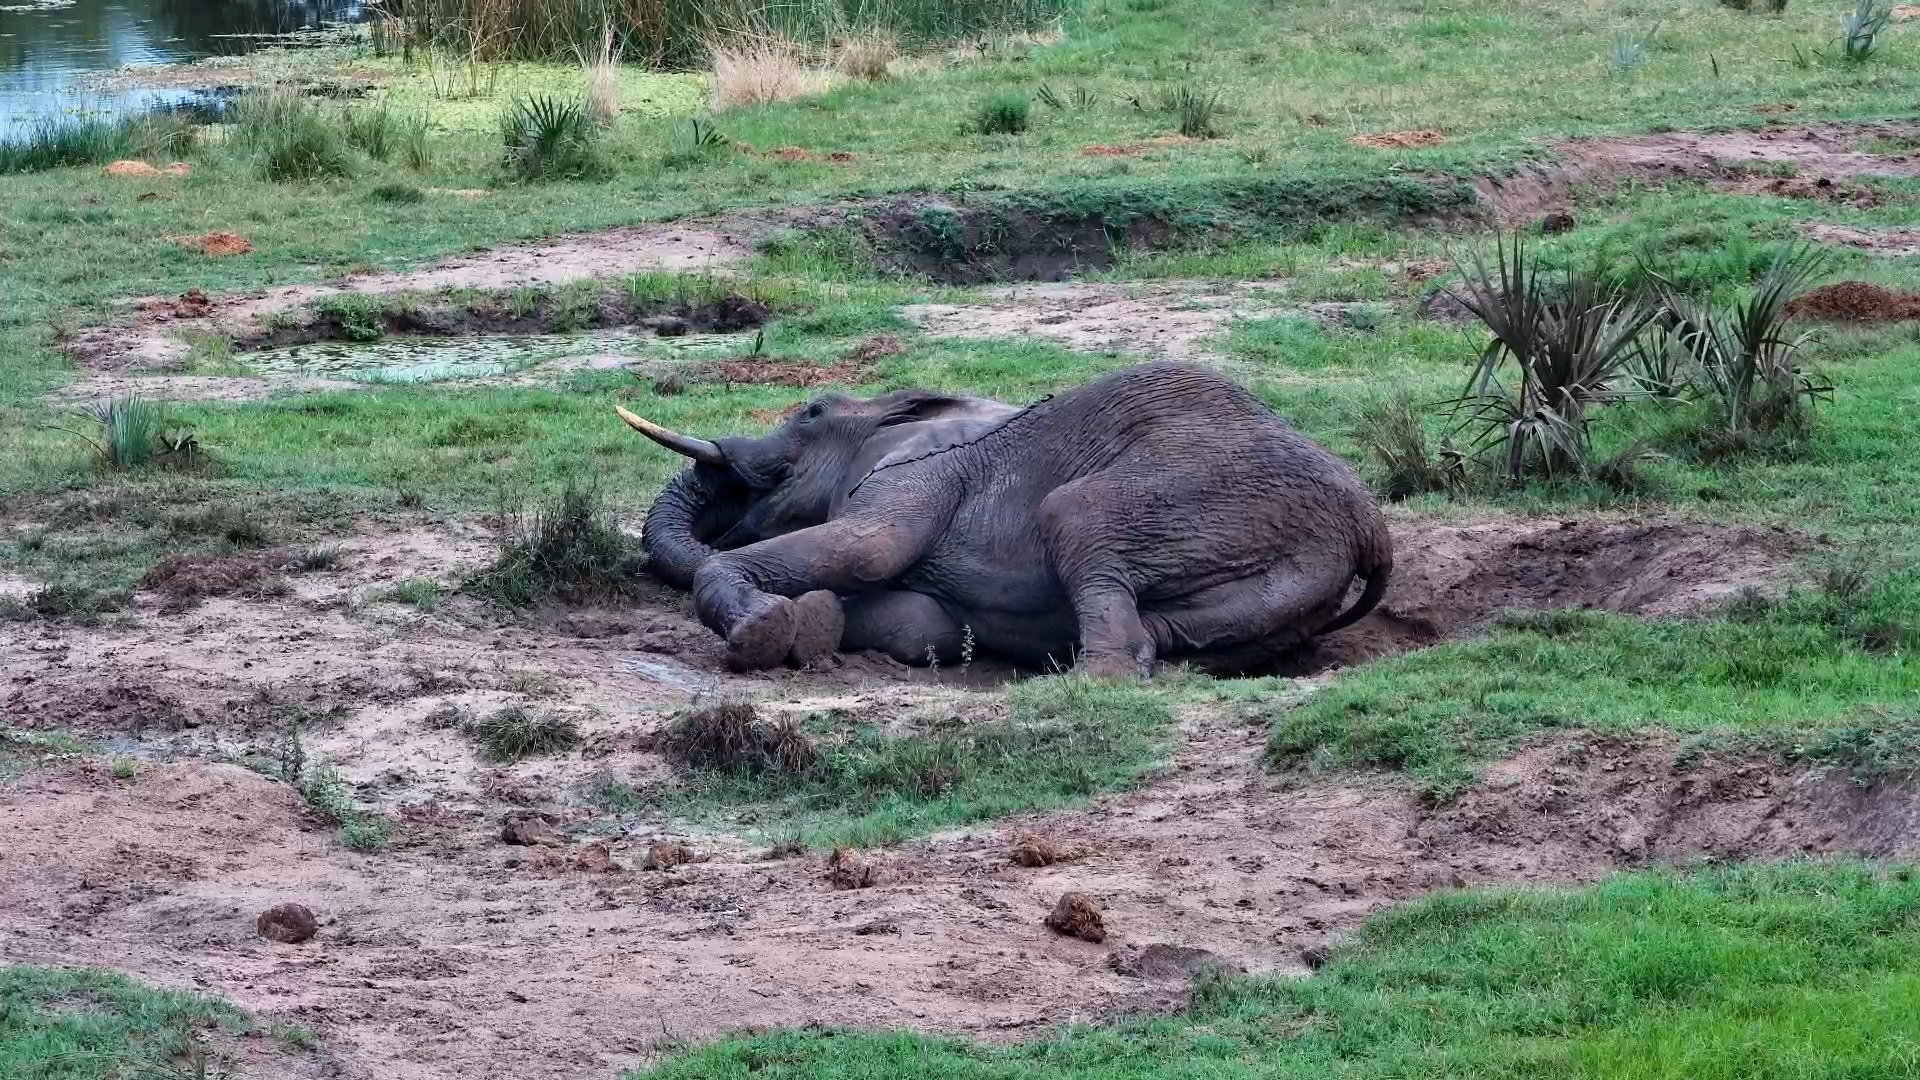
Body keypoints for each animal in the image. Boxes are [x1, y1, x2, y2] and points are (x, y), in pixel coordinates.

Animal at [625, 361, 1392, 677]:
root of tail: (1370, 526)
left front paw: (765, 632)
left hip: (1205, 497)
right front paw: (813, 622)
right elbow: (924, 625)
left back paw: (1087, 683)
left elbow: (870, 550)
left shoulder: (918, 477)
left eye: (811, 412)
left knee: (1078, 518)